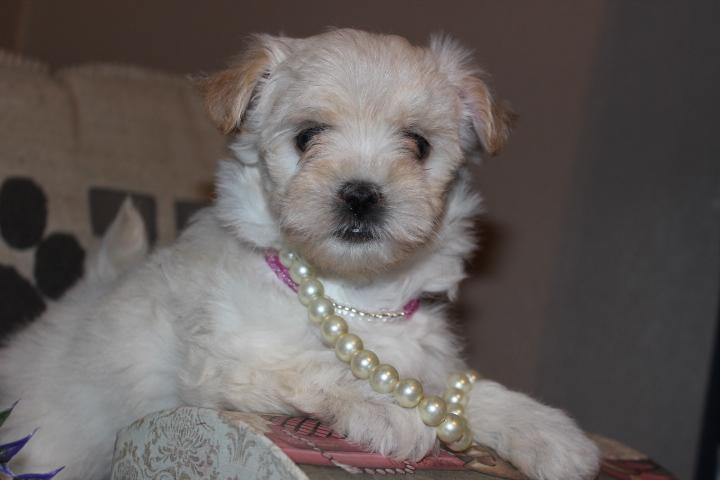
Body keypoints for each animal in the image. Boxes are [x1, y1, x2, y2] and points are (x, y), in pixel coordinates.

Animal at [0, 29, 600, 480]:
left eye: (419, 145)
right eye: (308, 137)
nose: (361, 194)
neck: (353, 294)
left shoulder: (427, 353)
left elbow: (454, 387)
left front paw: (547, 431)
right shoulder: (230, 359)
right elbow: (318, 364)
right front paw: (389, 409)